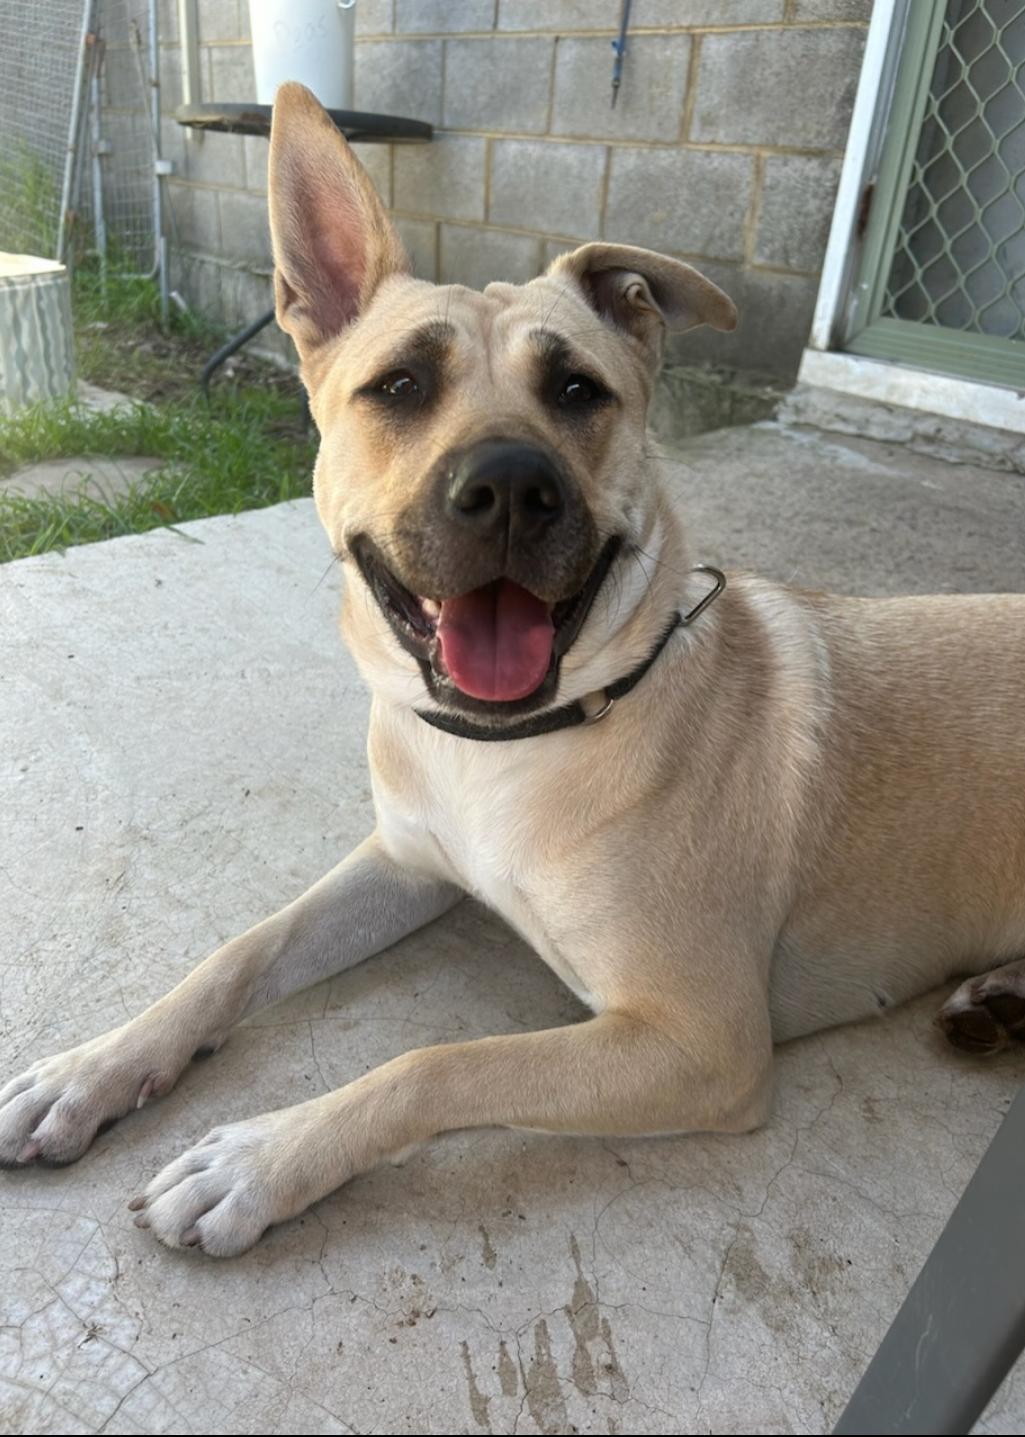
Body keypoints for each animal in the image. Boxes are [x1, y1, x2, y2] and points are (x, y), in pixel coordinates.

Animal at [2, 83, 1024, 1258]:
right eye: (399, 385)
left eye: (577, 389)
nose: (506, 488)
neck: (517, 742)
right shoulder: (403, 862)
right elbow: (238, 952)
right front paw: (93, 1068)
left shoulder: (698, 1040)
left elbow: (436, 1064)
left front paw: (261, 1157)